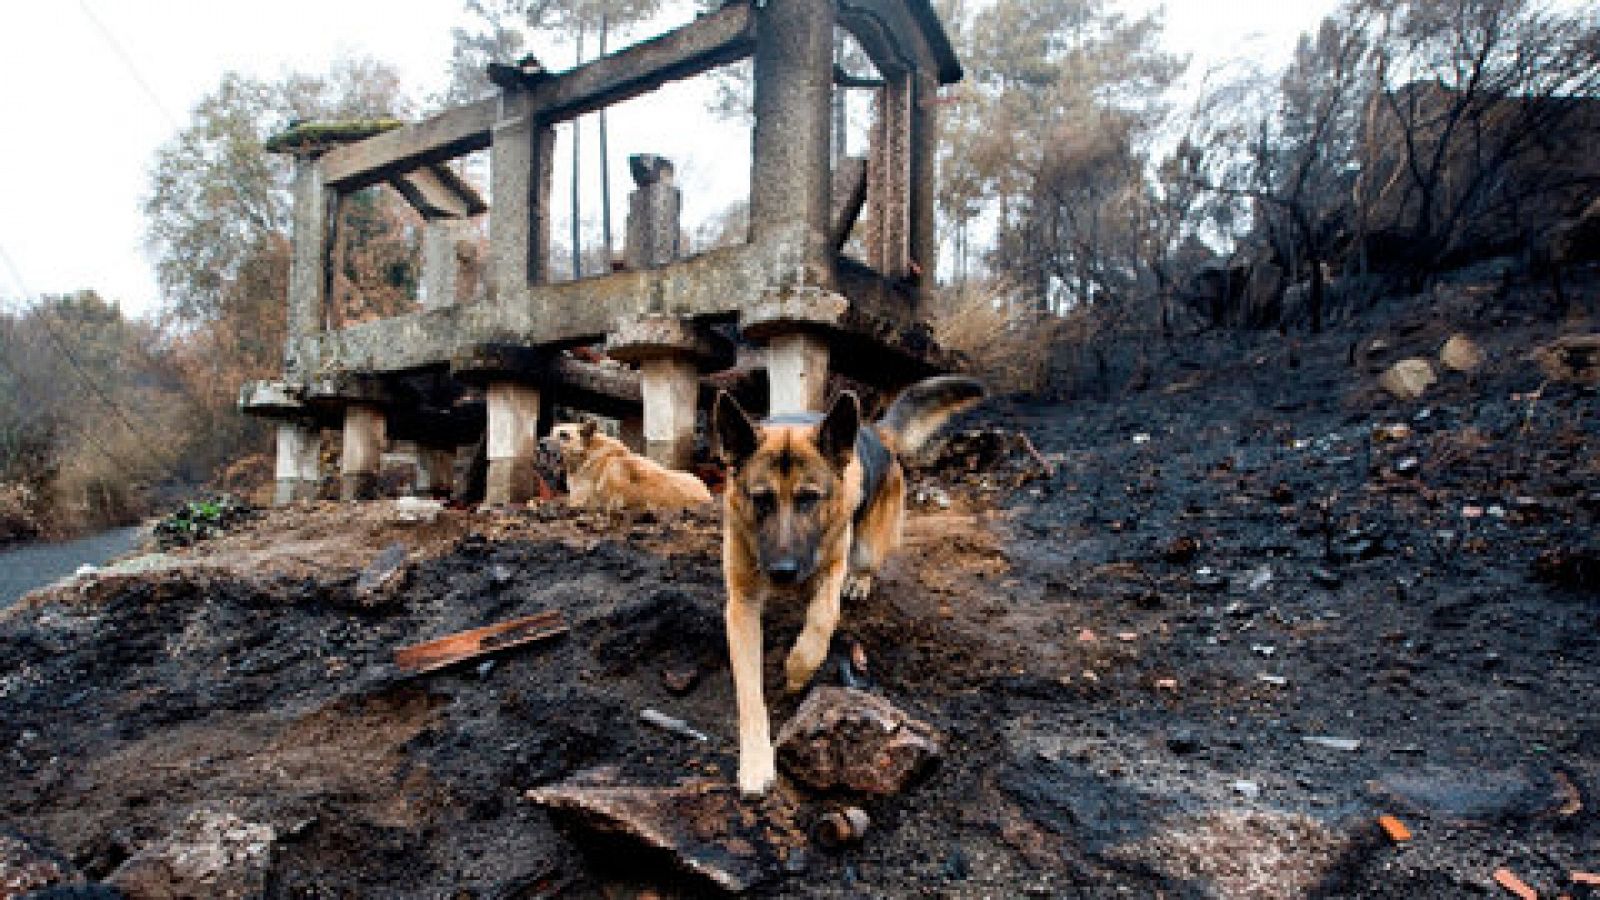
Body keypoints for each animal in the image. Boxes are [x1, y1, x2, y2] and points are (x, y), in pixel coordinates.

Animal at [716, 373, 985, 791]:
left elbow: (821, 623)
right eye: (761, 499)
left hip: (866, 547)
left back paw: (859, 582)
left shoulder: (830, 571)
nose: (782, 572)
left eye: (809, 498)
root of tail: (874, 431)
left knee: (865, 565)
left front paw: (797, 670)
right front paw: (756, 762)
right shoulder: (741, 606)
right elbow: (749, 693)